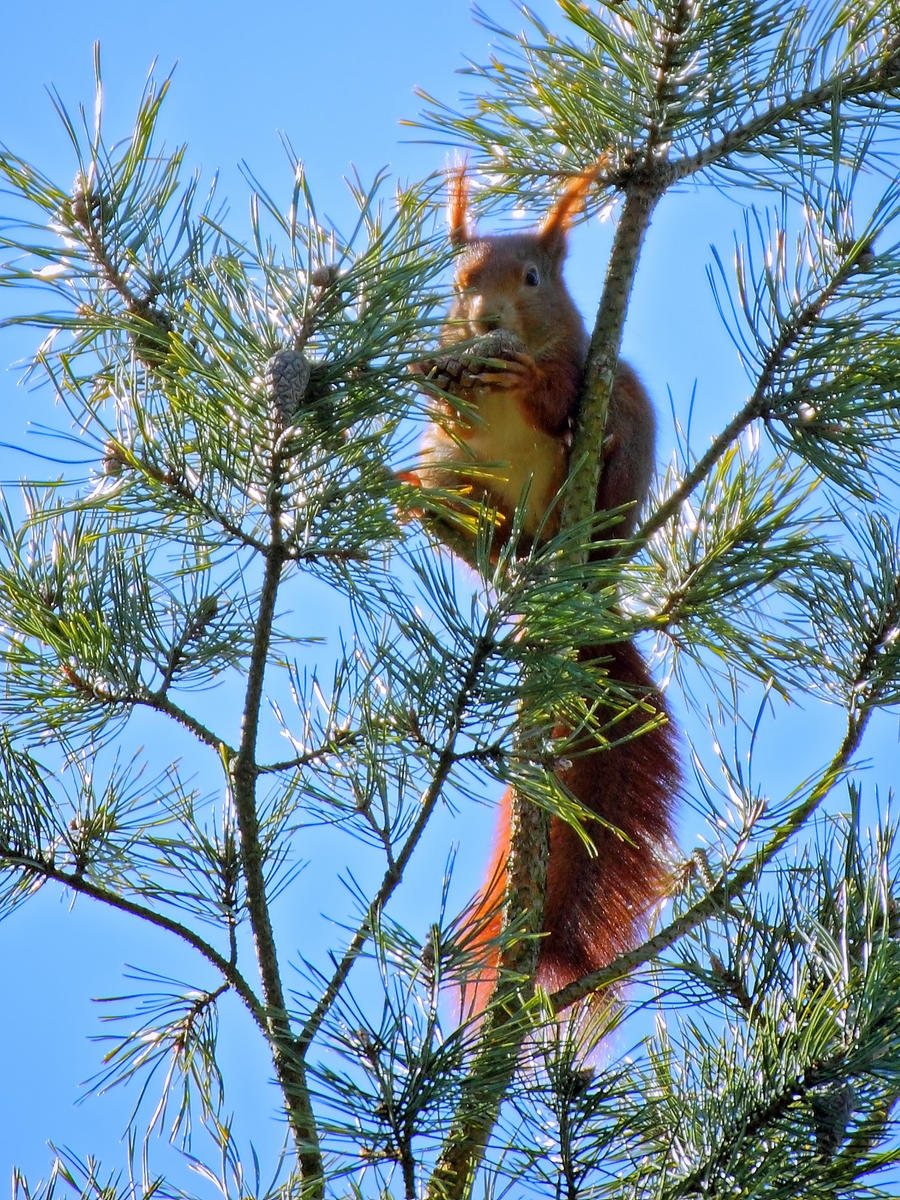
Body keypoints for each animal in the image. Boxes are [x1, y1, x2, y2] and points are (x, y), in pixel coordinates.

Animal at [412, 166, 681, 1012]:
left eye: (532, 278)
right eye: (457, 282)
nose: (486, 319)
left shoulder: (581, 366)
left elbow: (555, 390)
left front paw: (526, 376)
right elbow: (445, 405)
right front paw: (442, 377)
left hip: (618, 431)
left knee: (604, 451)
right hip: (449, 484)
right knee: (450, 510)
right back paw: (484, 540)